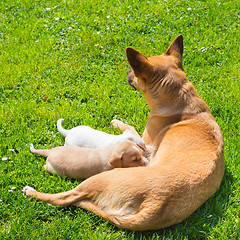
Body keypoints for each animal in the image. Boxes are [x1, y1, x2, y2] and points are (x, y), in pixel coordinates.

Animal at [22, 35, 223, 231]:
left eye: (134, 72)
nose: (127, 72)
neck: (183, 97)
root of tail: (153, 207)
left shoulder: (145, 136)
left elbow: (130, 129)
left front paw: (117, 123)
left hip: (96, 179)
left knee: (64, 198)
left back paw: (32, 192)